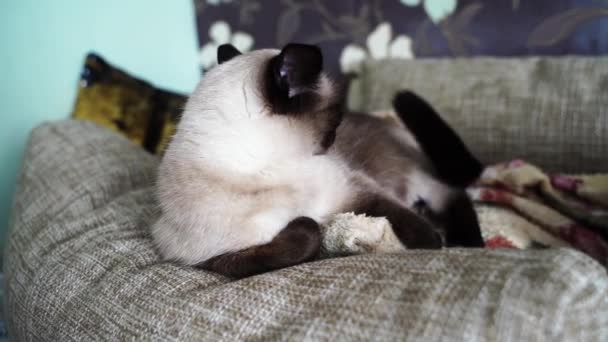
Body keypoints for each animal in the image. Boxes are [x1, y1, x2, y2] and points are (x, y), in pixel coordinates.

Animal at [152, 43, 484, 278]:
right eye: (335, 119)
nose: (333, 141)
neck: (268, 171)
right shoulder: (218, 256)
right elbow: (307, 232)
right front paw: (307, 223)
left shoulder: (358, 191)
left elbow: (404, 220)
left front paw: (433, 242)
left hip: (416, 178)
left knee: (455, 194)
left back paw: (467, 241)